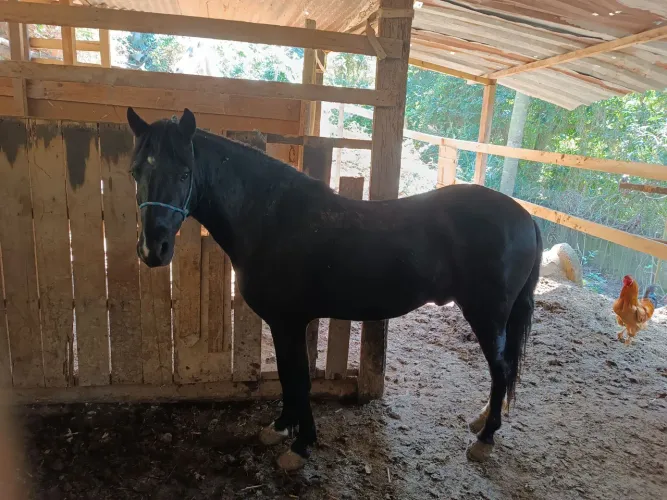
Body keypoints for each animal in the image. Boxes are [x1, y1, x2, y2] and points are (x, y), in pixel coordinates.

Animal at [127, 107, 543, 471]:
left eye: (185, 173)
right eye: (135, 171)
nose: (152, 250)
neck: (269, 219)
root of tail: (525, 217)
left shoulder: (289, 322)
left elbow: (299, 378)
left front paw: (300, 445)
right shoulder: (282, 324)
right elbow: (287, 374)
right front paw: (281, 427)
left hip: (487, 315)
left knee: (501, 368)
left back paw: (485, 439)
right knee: (503, 370)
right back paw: (482, 421)